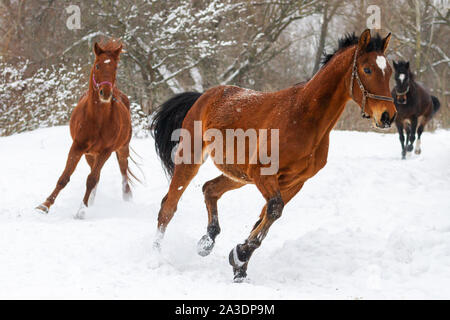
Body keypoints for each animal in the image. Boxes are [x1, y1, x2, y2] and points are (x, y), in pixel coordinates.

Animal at [35, 39, 134, 220]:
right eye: (97, 65)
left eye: (115, 67)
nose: (105, 93)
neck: (97, 119)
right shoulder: (77, 147)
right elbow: (64, 177)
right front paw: (44, 205)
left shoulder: (106, 151)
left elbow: (91, 179)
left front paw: (82, 210)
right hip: (90, 154)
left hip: (122, 148)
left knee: (122, 170)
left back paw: (126, 196)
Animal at [152, 29, 398, 280]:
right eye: (367, 69)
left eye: (389, 71)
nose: (387, 116)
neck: (303, 117)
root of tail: (203, 96)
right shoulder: (264, 175)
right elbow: (273, 210)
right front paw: (239, 256)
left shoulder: (293, 182)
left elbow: (264, 218)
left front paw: (239, 265)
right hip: (190, 159)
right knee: (168, 206)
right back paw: (157, 257)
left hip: (238, 175)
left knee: (209, 189)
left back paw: (206, 243)